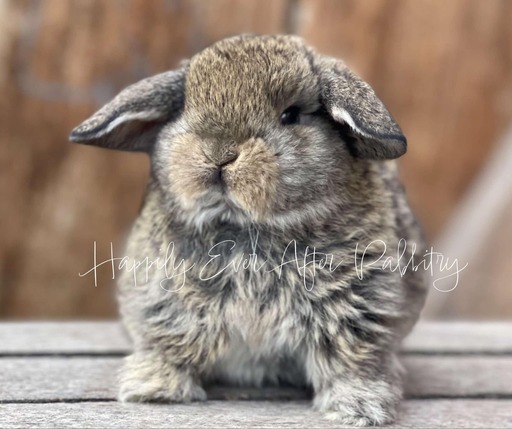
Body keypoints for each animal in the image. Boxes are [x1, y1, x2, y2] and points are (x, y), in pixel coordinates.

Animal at [69, 34, 428, 424]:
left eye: (290, 115)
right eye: (185, 109)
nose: (220, 154)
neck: (247, 225)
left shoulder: (355, 309)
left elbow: (350, 359)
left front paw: (361, 407)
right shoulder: (167, 303)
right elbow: (173, 344)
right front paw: (155, 388)